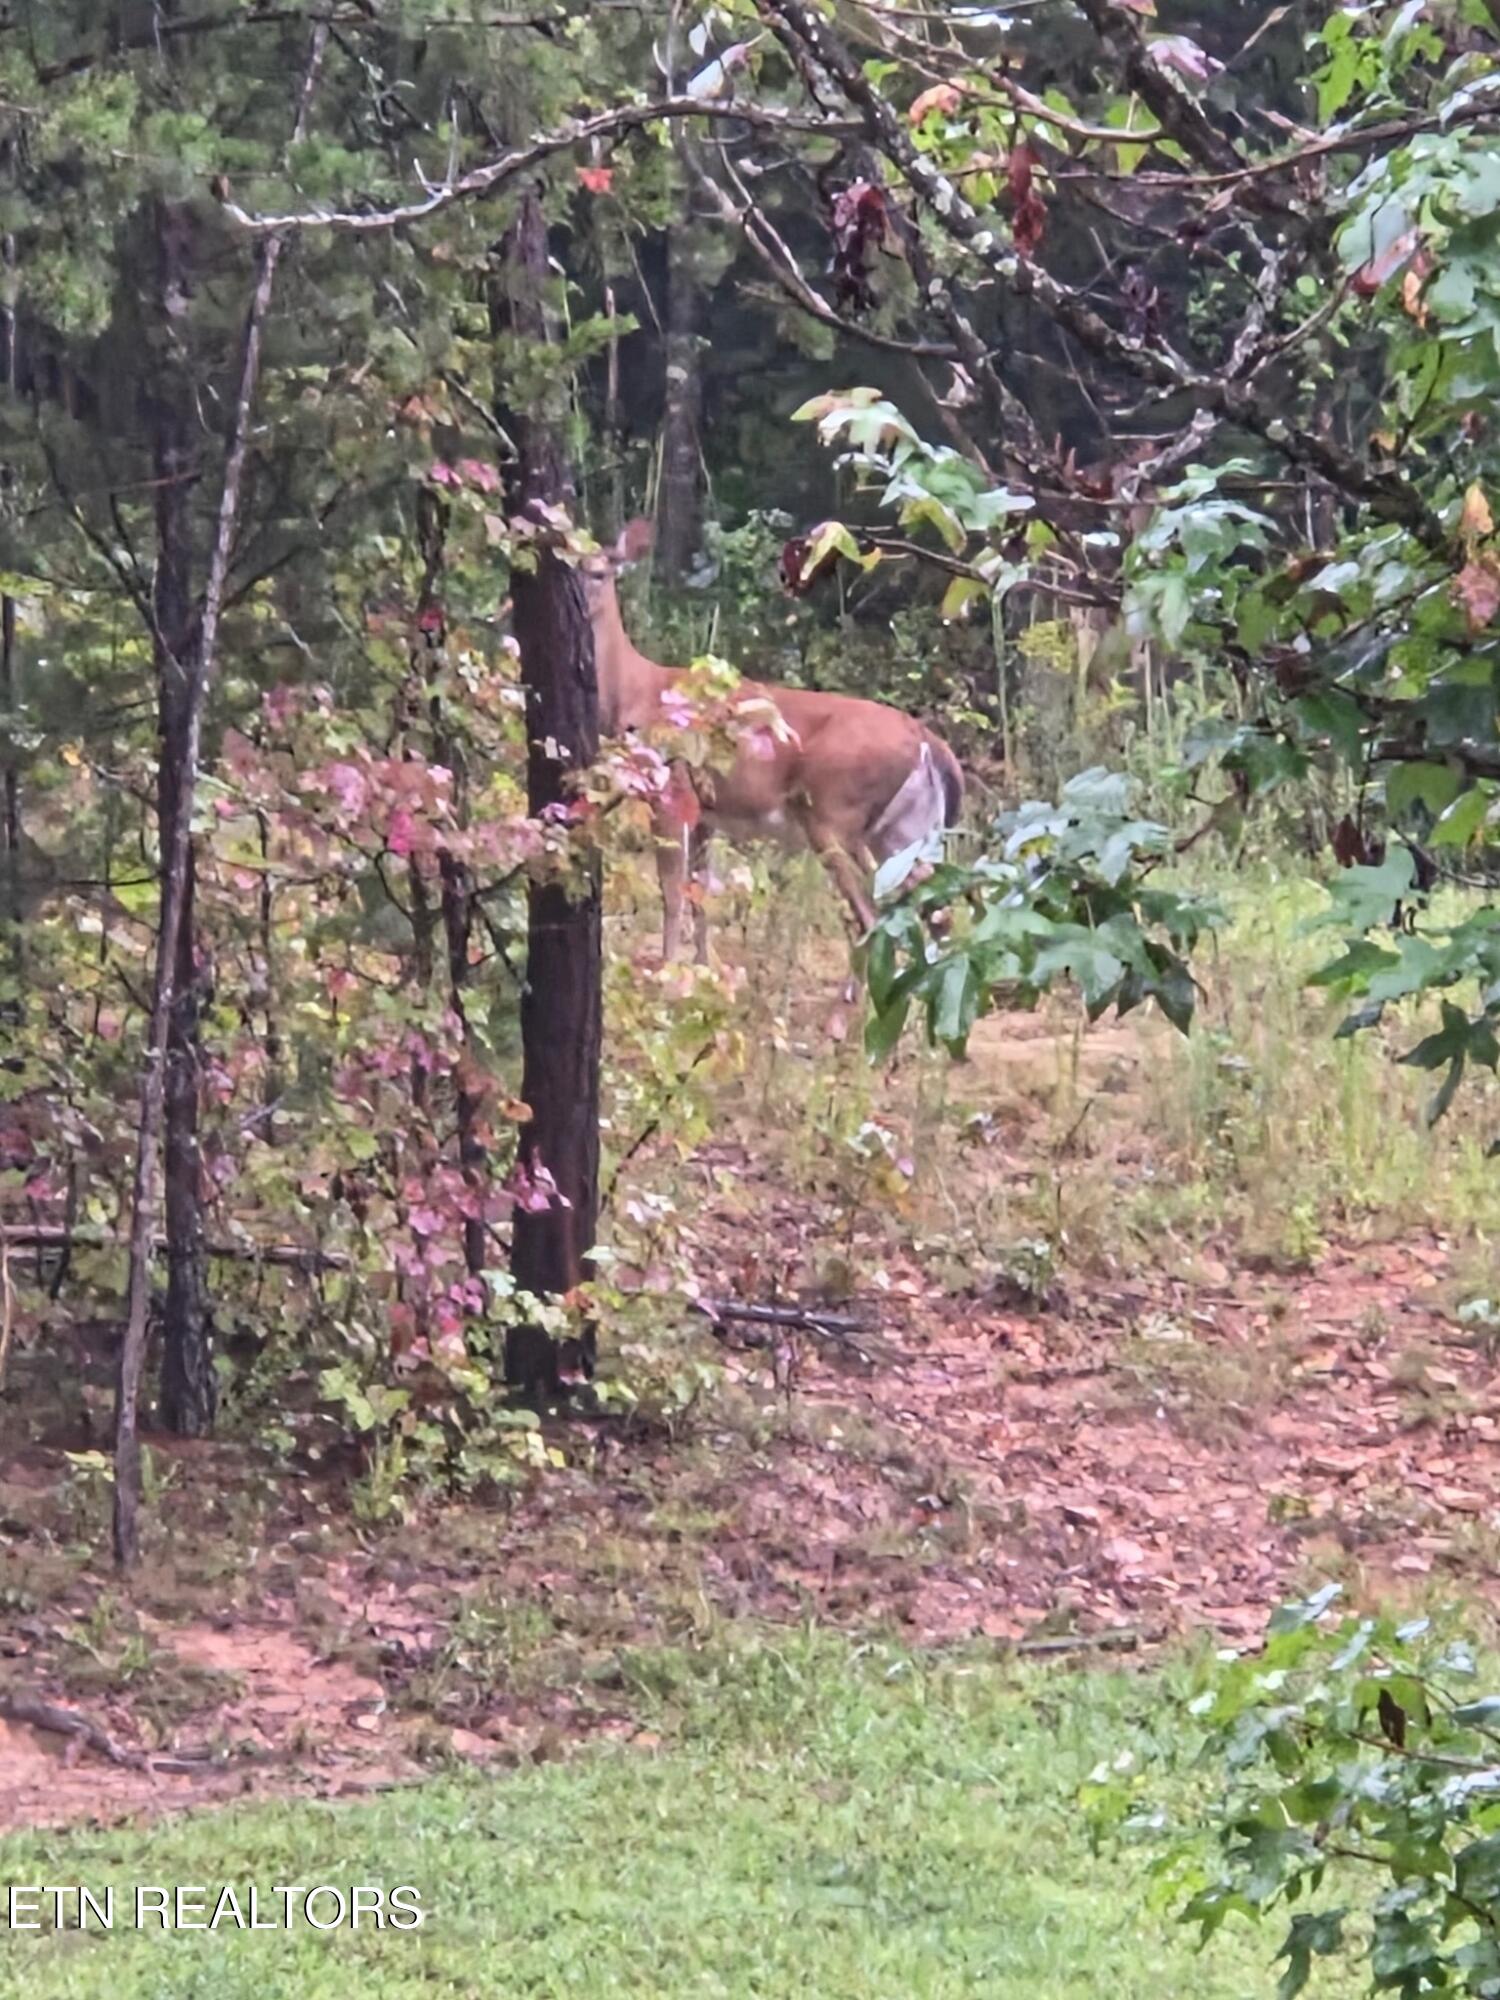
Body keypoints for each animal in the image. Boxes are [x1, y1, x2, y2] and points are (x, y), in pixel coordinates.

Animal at [580, 518, 964, 963]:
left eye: (599, 573)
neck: (635, 693)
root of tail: (930, 743)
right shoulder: (707, 811)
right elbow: (699, 896)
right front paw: (703, 968)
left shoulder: (670, 790)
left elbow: (672, 894)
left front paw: (667, 971)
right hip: (906, 828)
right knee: (937, 915)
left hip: (835, 814)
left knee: (871, 916)